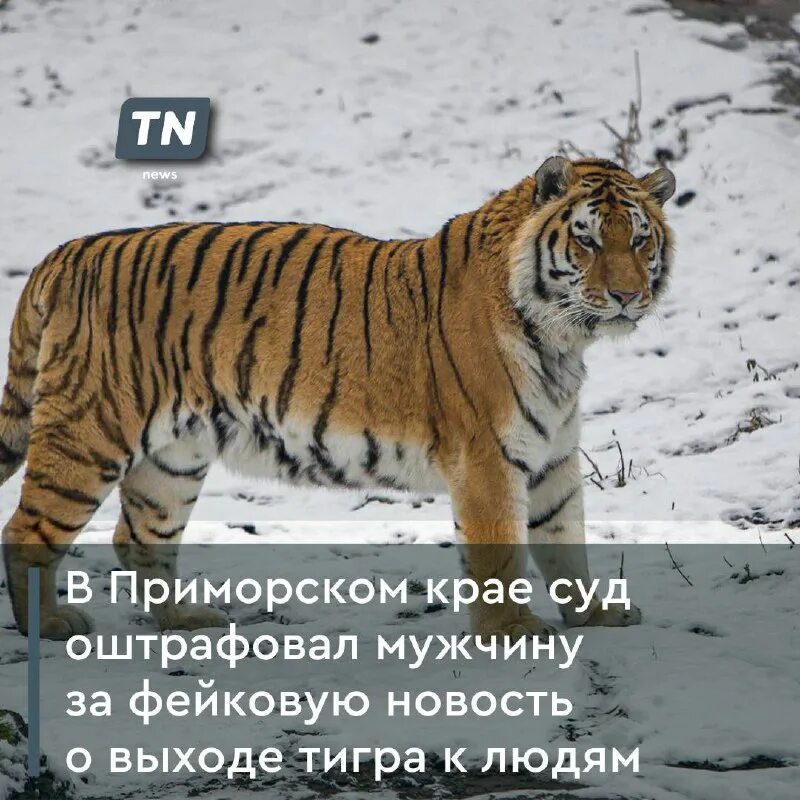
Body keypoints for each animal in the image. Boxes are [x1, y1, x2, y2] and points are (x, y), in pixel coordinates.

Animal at [0, 156, 675, 641]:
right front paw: (512, 631)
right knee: (26, 528)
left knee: (138, 536)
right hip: (90, 433)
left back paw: (186, 621)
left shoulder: (553, 456)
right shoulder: (488, 457)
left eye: (641, 242)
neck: (564, 339)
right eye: (588, 242)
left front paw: (595, 615)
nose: (625, 297)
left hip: (174, 456)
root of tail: (65, 254)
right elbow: (501, 557)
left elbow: (564, 545)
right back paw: (48, 627)